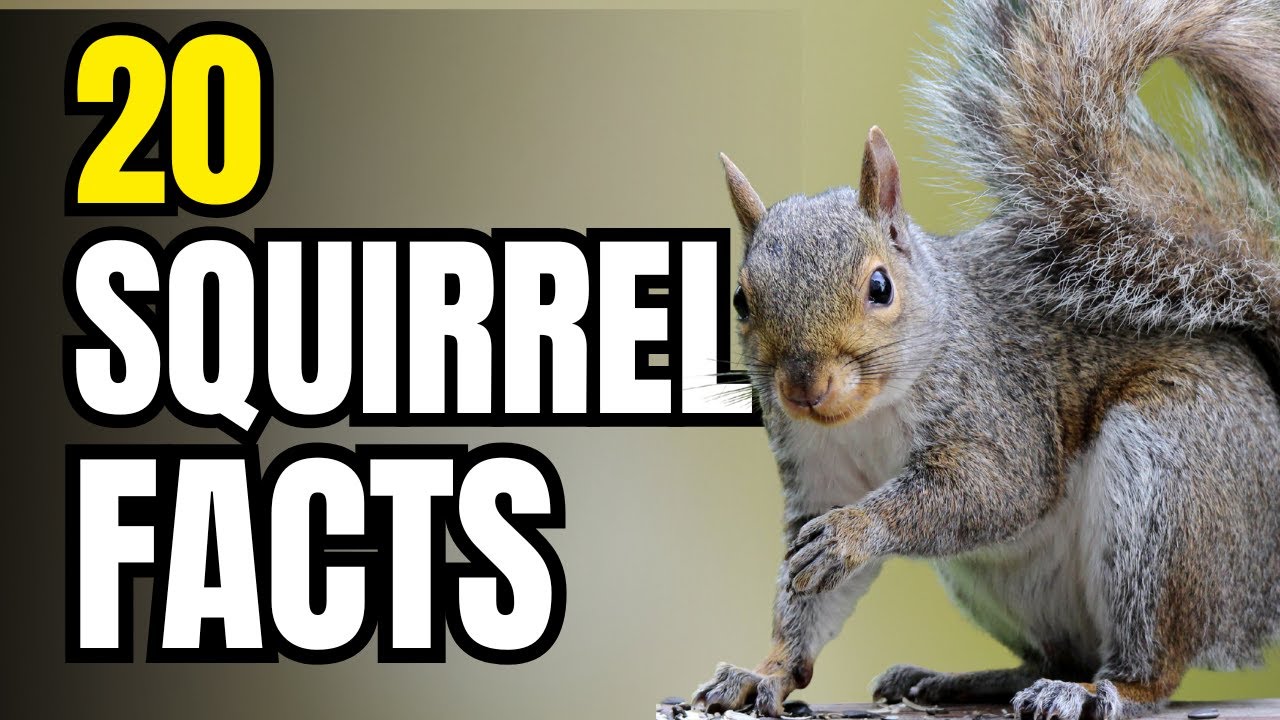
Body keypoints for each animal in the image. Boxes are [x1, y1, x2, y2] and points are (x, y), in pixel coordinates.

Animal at [691, 1, 1280, 719]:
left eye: (879, 286)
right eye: (740, 298)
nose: (805, 387)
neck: (872, 411)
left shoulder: (997, 401)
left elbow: (996, 488)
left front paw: (855, 532)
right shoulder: (816, 474)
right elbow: (808, 596)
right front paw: (764, 673)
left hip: (1170, 492)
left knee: (1152, 666)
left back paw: (1096, 690)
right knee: (1058, 654)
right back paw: (962, 680)